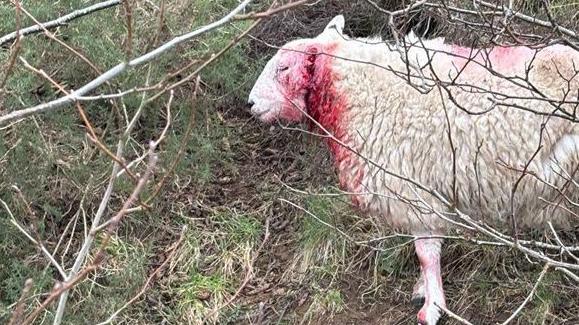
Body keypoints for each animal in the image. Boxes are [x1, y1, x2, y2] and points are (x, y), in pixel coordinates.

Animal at [247, 15, 579, 324]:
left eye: (284, 68)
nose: (250, 104)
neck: (360, 91)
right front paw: (424, 289)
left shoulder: (415, 191)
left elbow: (426, 253)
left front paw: (432, 306)